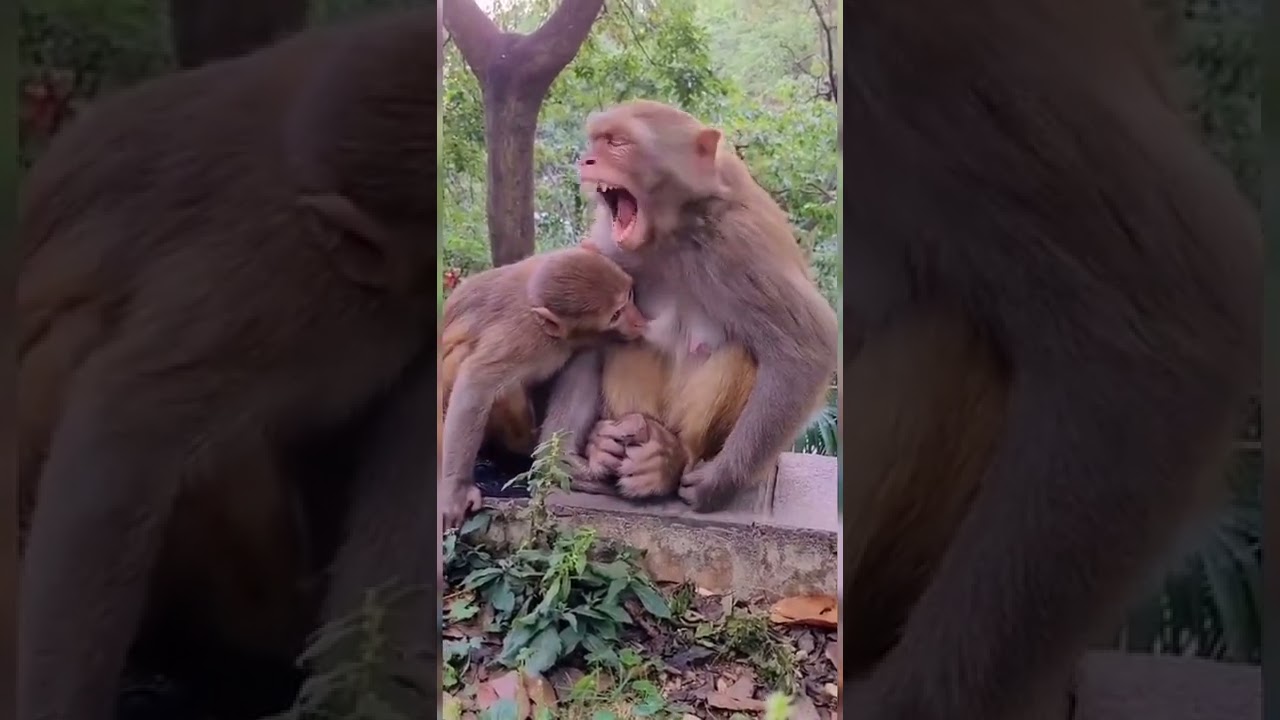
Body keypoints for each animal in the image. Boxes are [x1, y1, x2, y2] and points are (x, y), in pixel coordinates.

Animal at [439, 247, 648, 528]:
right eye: (616, 314)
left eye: (630, 296)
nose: (639, 322)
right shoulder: (527, 340)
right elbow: (477, 380)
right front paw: (456, 489)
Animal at [535, 100, 839, 512]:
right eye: (596, 140)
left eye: (618, 143)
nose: (587, 160)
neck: (672, 233)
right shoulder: (611, 248)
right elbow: (593, 326)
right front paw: (566, 458)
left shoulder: (739, 244)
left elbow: (809, 346)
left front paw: (719, 481)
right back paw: (612, 446)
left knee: (736, 352)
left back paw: (668, 461)